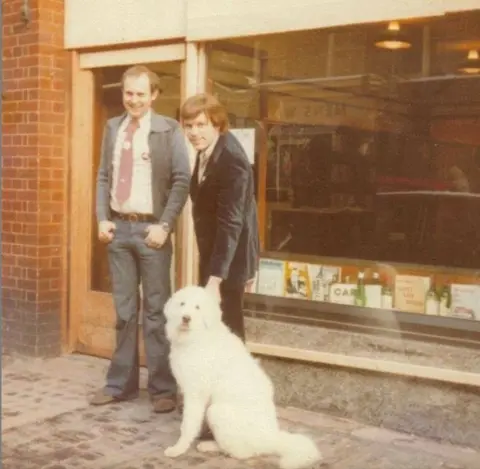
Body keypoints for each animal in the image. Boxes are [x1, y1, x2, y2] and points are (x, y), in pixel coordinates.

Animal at [163, 286, 320, 468]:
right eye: (182, 304)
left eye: (197, 307)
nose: (186, 318)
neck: (196, 338)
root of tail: (272, 438)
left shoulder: (195, 394)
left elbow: (188, 425)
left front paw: (178, 449)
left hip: (216, 411)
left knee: (242, 453)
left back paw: (212, 446)